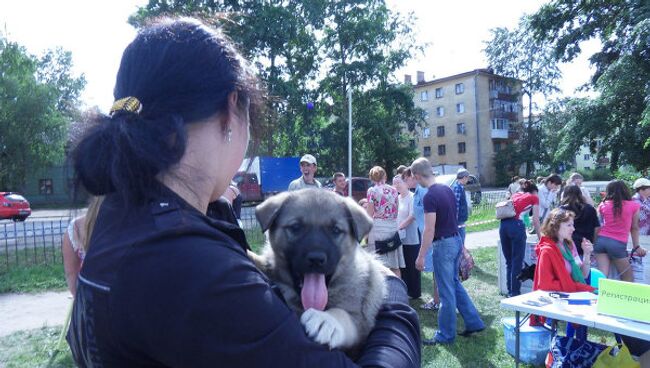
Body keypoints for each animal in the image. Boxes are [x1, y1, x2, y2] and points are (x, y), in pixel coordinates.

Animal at [248, 190, 384, 354]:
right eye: (296, 227)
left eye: (336, 230)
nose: (316, 259)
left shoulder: (360, 322)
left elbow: (342, 314)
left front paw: (326, 320)